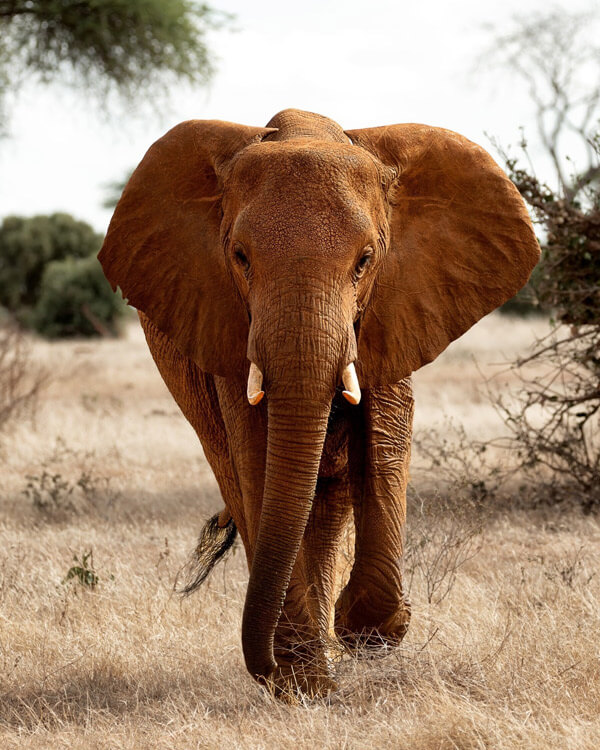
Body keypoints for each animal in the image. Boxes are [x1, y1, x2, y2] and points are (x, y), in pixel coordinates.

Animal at [98, 108, 540, 704]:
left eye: (365, 260)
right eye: (240, 258)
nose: (264, 668)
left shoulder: (393, 306)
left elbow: (386, 440)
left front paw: (365, 632)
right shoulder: (229, 327)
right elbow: (259, 461)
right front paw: (304, 684)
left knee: (325, 509)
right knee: (245, 487)